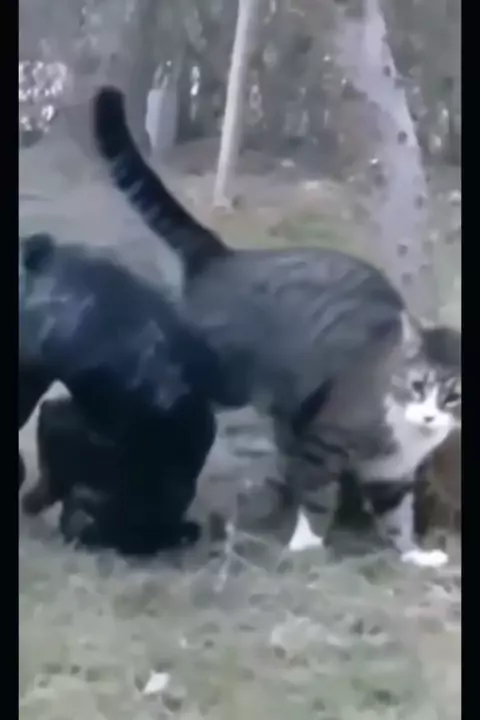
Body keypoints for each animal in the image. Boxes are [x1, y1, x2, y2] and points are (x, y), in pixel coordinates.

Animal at [91, 86, 460, 567]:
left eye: (453, 394)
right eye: (418, 385)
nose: (431, 415)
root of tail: (223, 254)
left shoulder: (392, 473)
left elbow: (397, 515)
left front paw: (414, 555)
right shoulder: (327, 434)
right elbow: (319, 495)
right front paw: (306, 544)